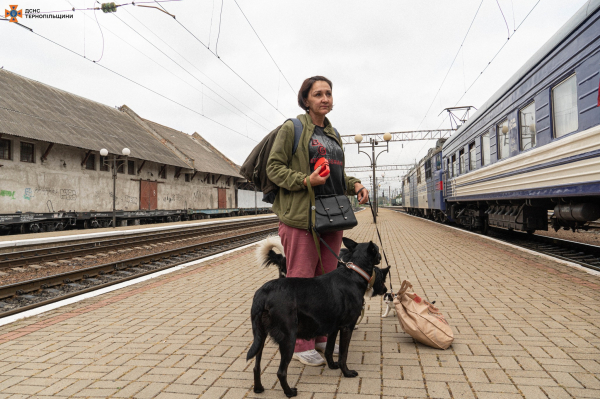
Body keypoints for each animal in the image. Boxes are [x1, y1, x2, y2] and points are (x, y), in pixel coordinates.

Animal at [247, 238, 390, 396]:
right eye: (378, 251)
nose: (386, 290)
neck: (354, 273)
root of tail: (263, 293)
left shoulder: (334, 328)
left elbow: (329, 350)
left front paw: (332, 365)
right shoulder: (347, 327)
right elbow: (343, 354)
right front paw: (346, 372)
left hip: (260, 336)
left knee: (256, 366)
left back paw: (258, 388)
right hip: (289, 338)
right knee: (281, 372)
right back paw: (289, 392)